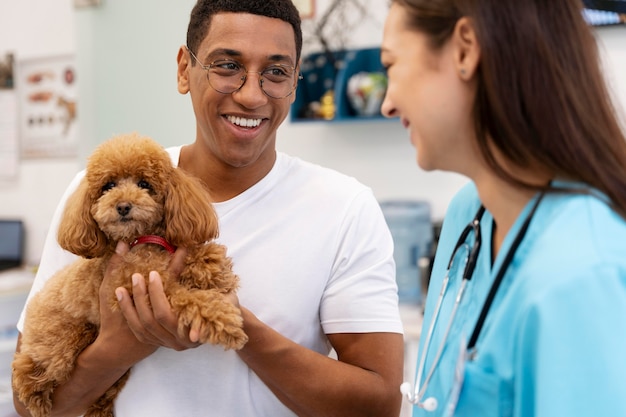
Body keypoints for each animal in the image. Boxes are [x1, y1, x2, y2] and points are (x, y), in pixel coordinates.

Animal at [12, 132, 246, 414]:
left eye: (144, 184)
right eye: (108, 186)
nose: (123, 206)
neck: (139, 241)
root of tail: (35, 302)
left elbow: (191, 254)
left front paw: (213, 265)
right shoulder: (140, 289)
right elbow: (187, 299)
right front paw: (223, 320)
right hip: (62, 339)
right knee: (28, 367)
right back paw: (36, 397)